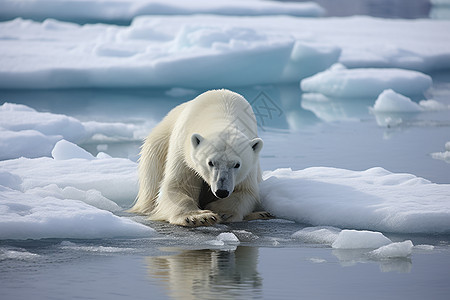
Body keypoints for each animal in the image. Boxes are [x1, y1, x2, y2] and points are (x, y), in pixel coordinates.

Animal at [130, 89, 270, 227]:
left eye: (237, 165)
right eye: (211, 163)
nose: (221, 191)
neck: (223, 109)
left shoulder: (250, 163)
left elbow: (246, 191)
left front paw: (223, 212)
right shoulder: (182, 149)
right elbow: (178, 186)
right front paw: (200, 217)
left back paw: (262, 214)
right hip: (157, 146)